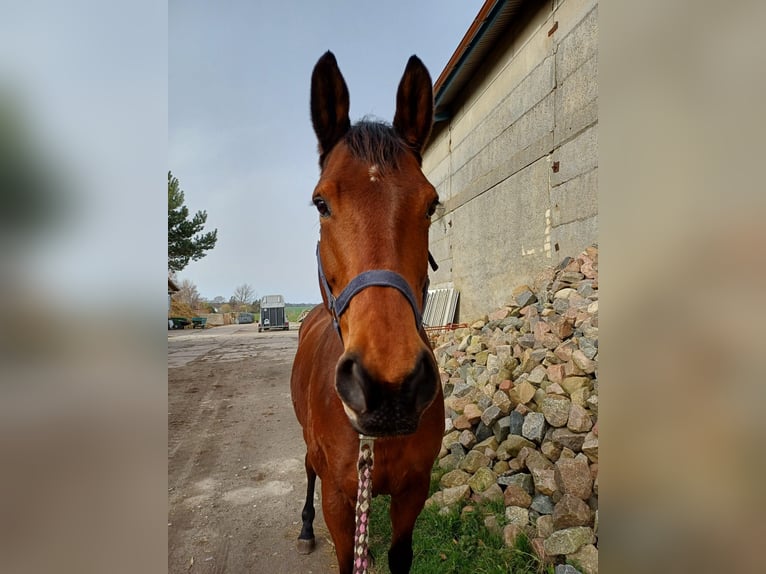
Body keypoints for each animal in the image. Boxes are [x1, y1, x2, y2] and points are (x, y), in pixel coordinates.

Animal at [292, 50, 448, 574]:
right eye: (321, 202)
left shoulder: (413, 490)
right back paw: (303, 528)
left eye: (431, 204)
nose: (390, 387)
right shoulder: (338, 499)